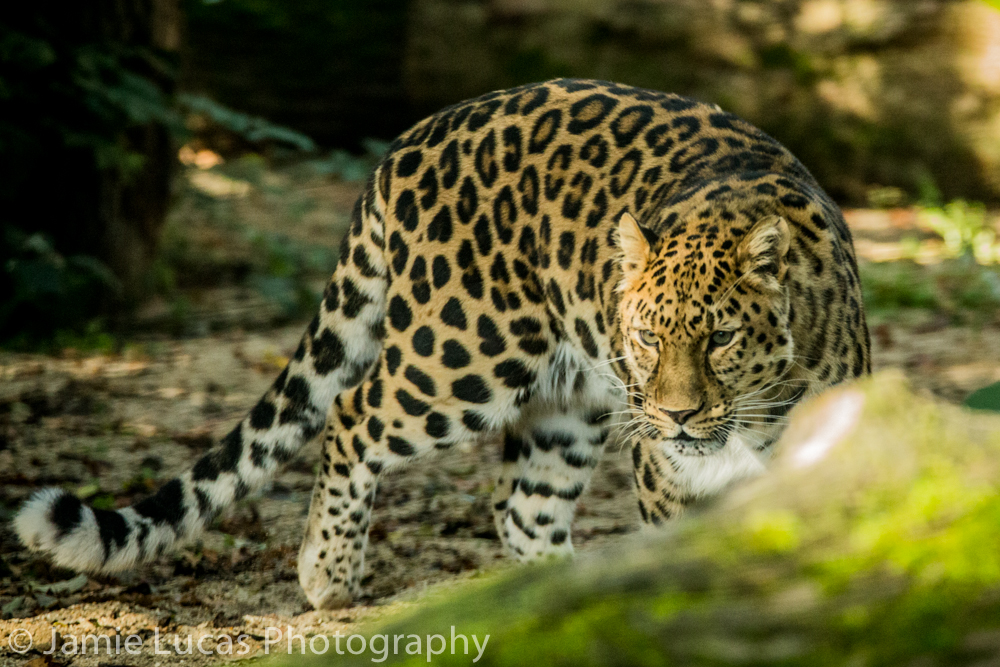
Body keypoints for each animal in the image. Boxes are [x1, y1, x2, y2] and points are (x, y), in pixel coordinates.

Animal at [15, 78, 870, 609]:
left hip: (569, 401)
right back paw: (328, 571)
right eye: (647, 338)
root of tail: (412, 137)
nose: (680, 416)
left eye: (720, 336)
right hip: (464, 353)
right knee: (352, 414)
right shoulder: (668, 475)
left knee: (523, 509)